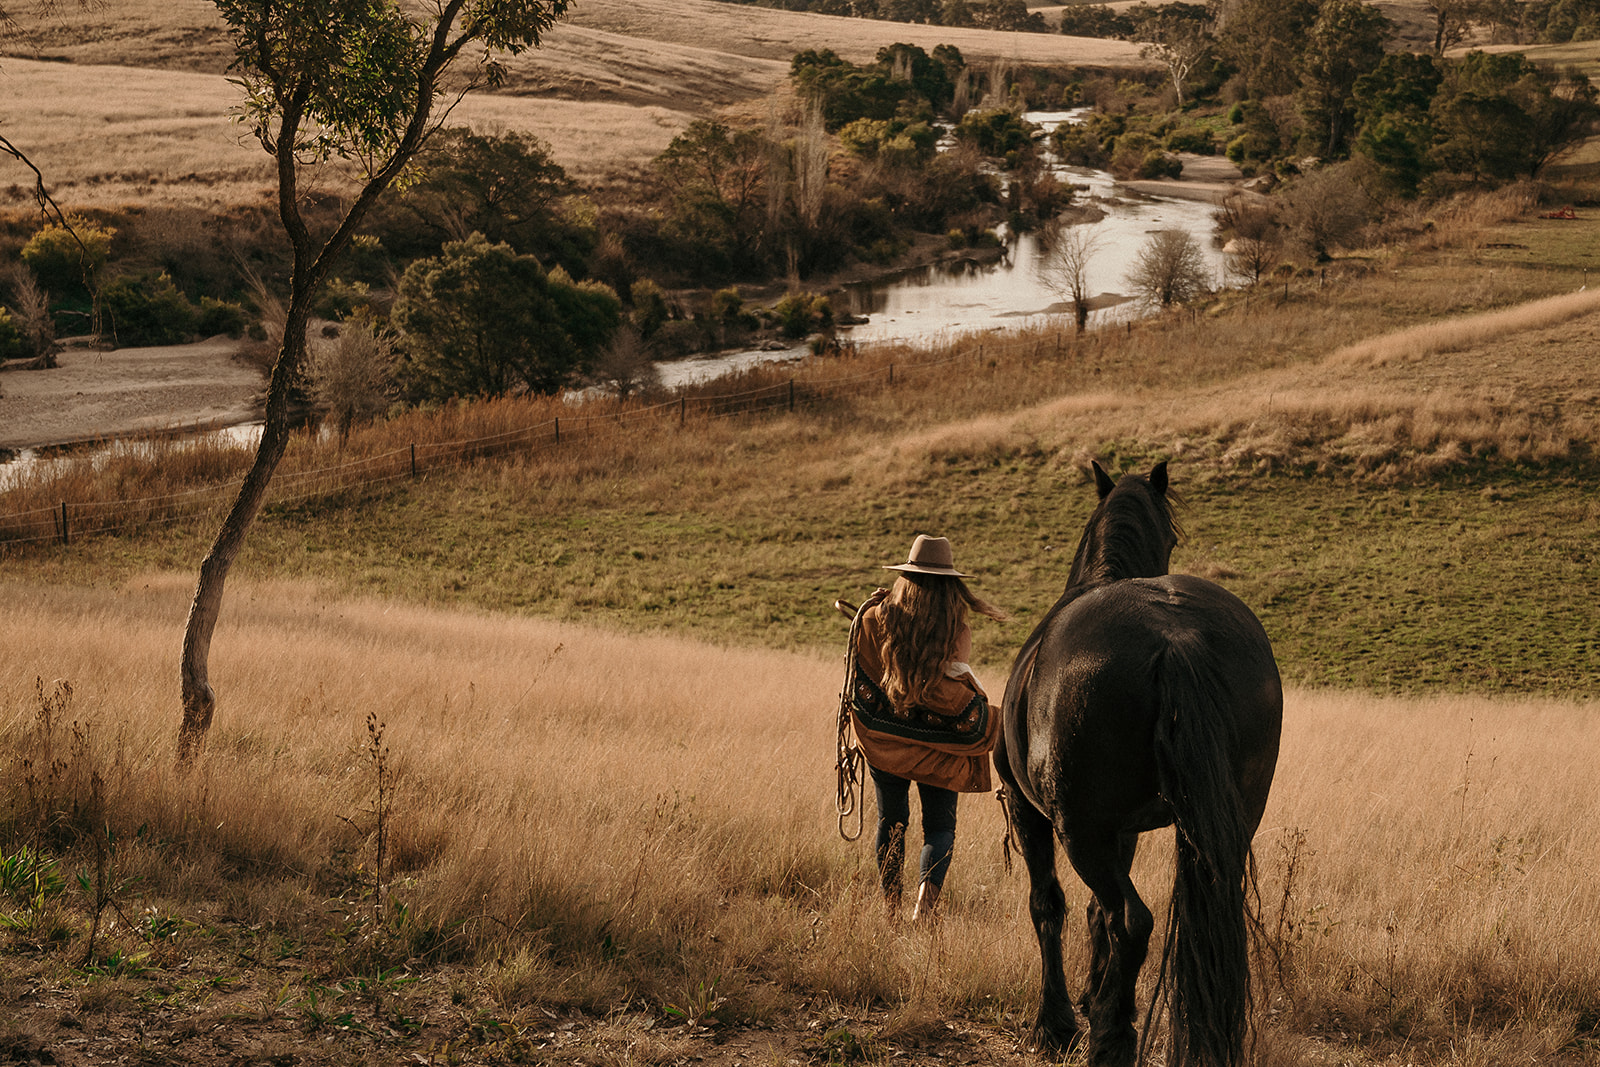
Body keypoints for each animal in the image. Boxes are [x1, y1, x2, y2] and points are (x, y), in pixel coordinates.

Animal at [998, 460, 1286, 1067]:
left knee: (1131, 920)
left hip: (1079, 830)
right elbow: (1092, 913)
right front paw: (1093, 992)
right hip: (1224, 825)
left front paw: (1056, 1023)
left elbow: (1049, 905)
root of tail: (1177, 639)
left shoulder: (1028, 809)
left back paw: (1111, 1038)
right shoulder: (1124, 829)